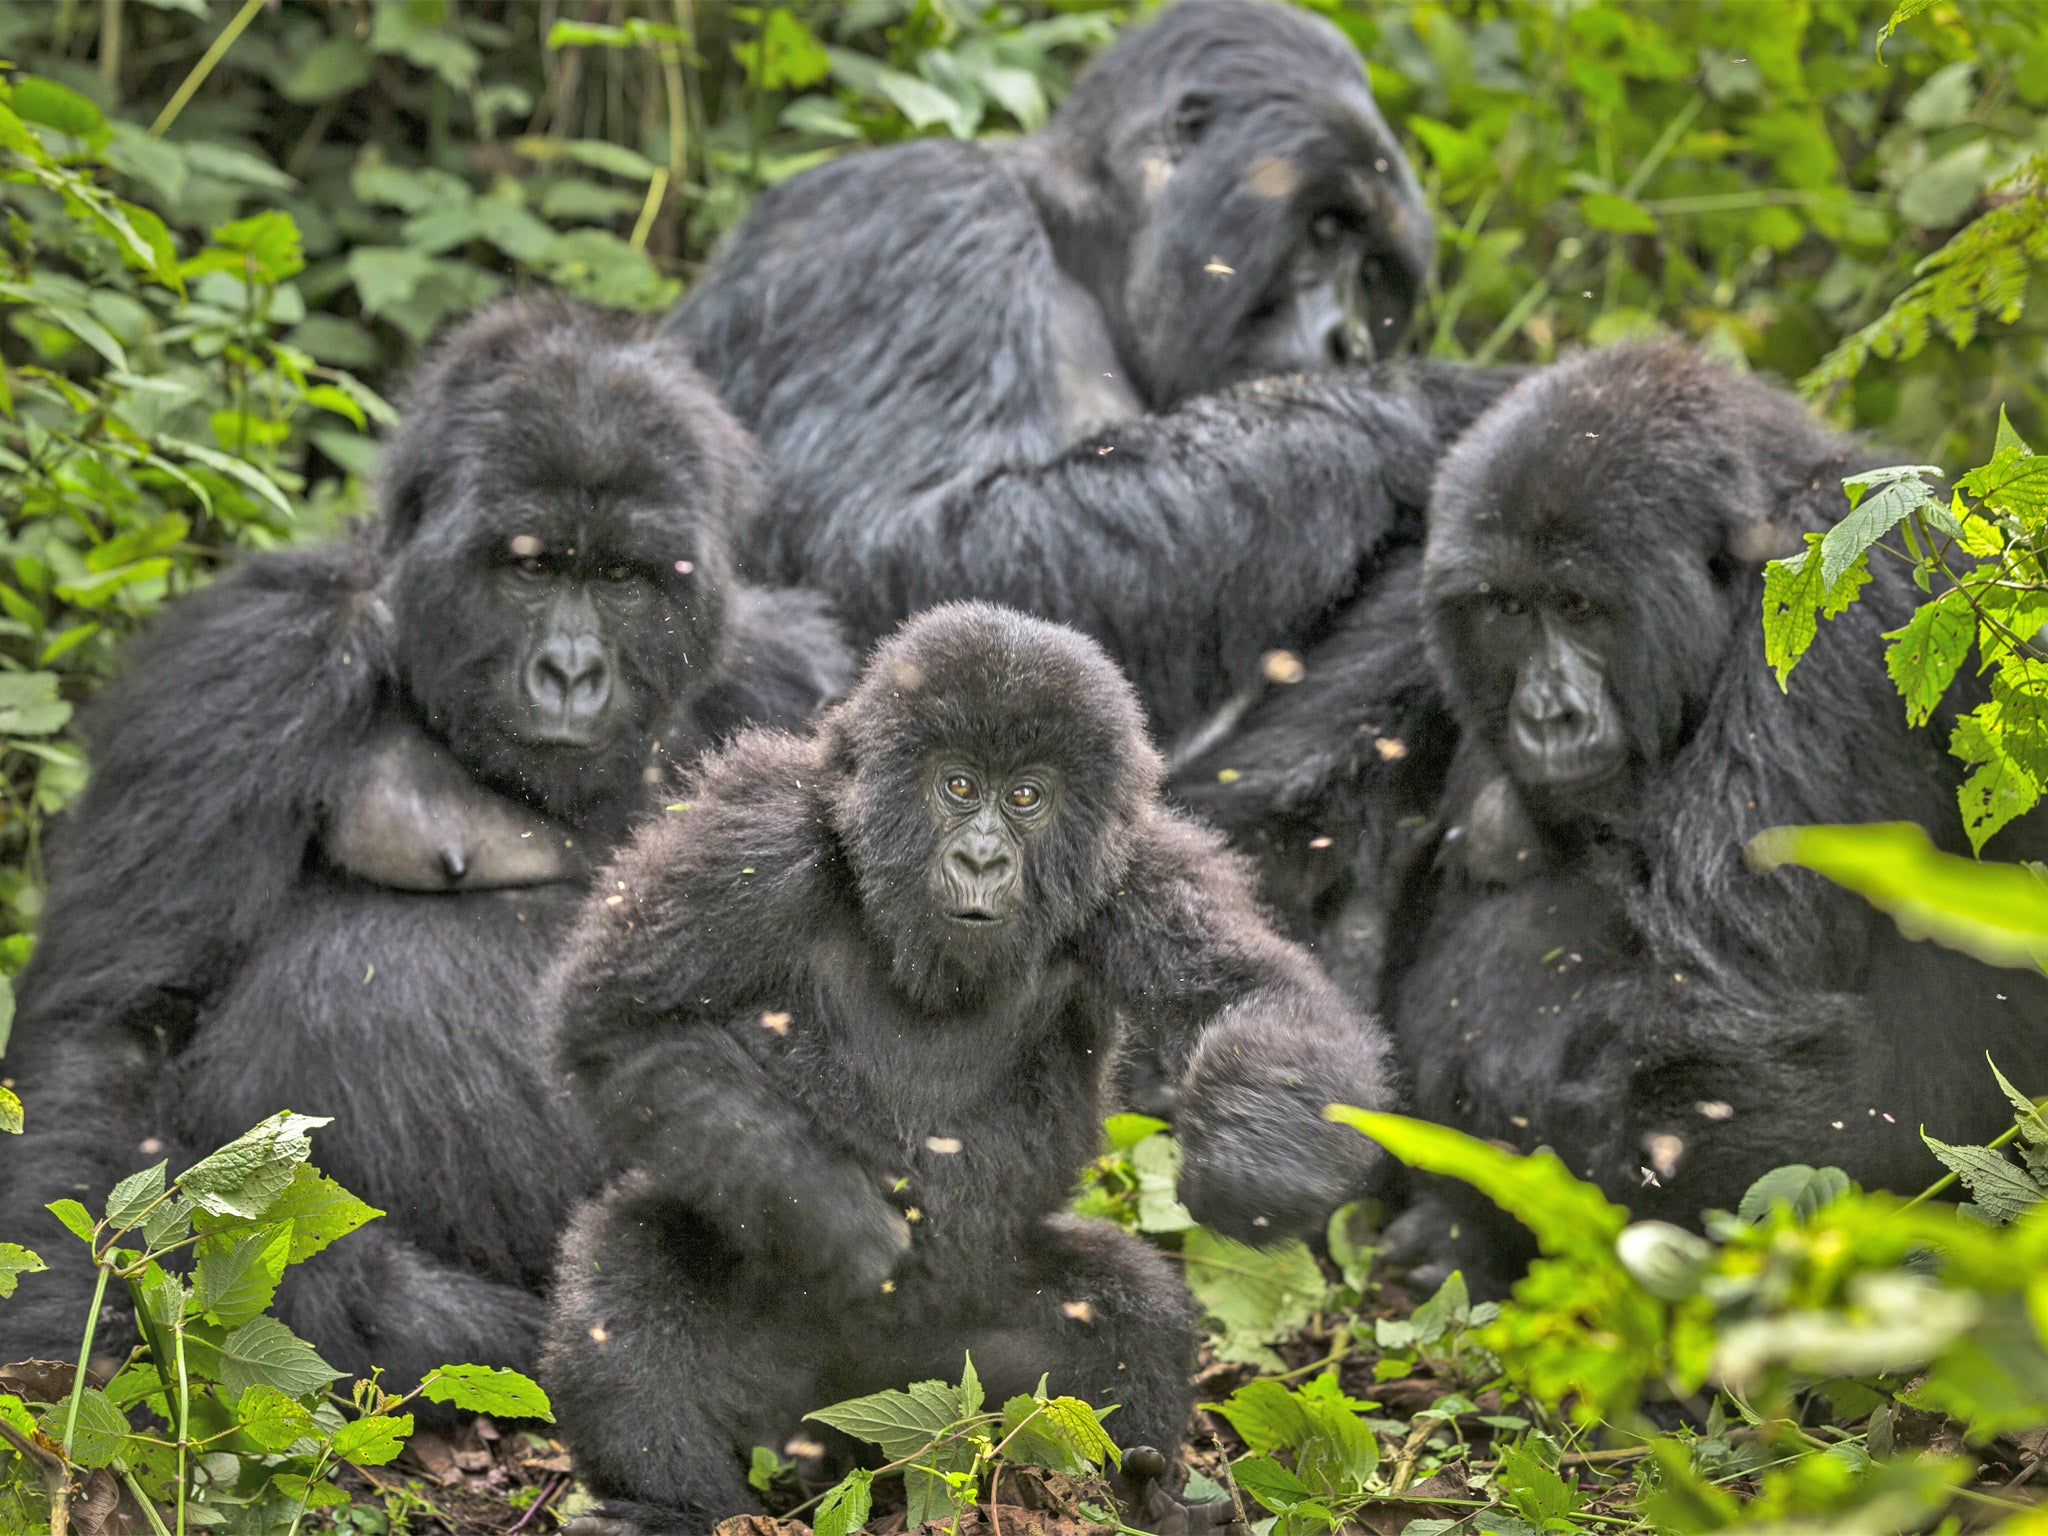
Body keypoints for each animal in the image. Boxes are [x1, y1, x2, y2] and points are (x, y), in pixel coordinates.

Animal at [0, 301, 847, 1384]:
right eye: (531, 566)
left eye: (620, 576)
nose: (571, 673)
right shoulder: (252, 660)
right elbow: (121, 1023)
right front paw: (60, 1341)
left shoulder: (796, 679)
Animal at [544, 606, 1400, 1531]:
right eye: (957, 785)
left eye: (1025, 796)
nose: (985, 859)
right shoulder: (758, 832)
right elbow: (624, 1021)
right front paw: (839, 1220)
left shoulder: (1141, 867)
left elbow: (1253, 995)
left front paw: (1255, 1169)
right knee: (626, 1272)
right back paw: (671, 1505)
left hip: (979, 1378)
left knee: (1130, 1309)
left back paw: (1143, 1492)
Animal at [671, 0, 1523, 753]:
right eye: (1324, 228)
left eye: (1375, 273)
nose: (1352, 342)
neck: (1092, 244)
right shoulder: (922, 216)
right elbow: (904, 549)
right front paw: (1443, 406)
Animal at [1327, 346, 2031, 1286]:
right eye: (1507, 609)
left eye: (1579, 608)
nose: (1547, 716)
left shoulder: (1842, 602)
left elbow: (1723, 1030)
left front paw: (1474, 1218)